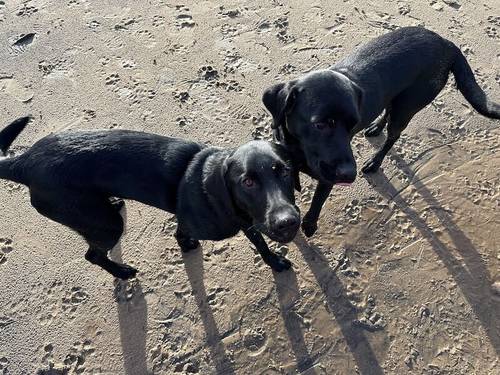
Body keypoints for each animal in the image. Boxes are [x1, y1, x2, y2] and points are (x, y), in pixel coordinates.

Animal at [0, 117, 300, 280]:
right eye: (247, 182)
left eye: (285, 171)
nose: (287, 222)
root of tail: (24, 162)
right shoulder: (195, 220)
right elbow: (182, 231)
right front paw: (185, 244)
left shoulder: (249, 221)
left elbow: (260, 243)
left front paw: (275, 262)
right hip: (106, 225)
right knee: (92, 255)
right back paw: (121, 272)